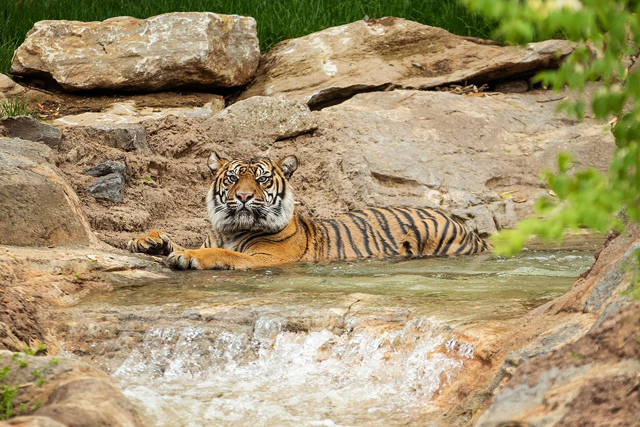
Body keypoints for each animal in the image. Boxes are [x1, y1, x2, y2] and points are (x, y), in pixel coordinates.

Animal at [128, 153, 491, 270]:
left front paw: (187, 257)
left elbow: (223, 254)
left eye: (261, 179)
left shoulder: (266, 258)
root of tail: (466, 227)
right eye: (232, 179)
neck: (230, 228)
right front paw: (147, 240)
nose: (243, 196)